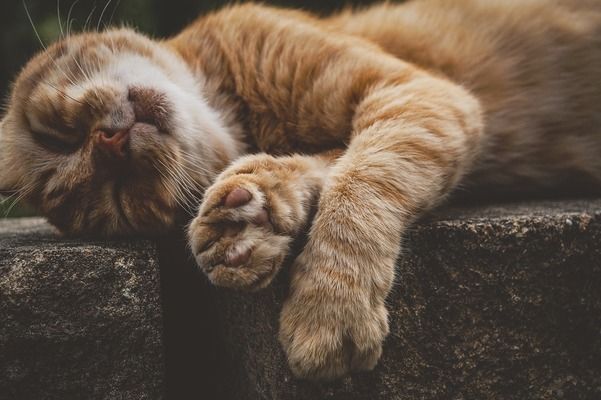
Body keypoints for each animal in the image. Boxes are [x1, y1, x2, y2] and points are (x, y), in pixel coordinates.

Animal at [1, 0, 600, 382]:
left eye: (56, 134)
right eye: (119, 198)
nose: (110, 145)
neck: (240, 110)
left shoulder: (418, 95)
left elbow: (360, 184)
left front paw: (329, 311)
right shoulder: (406, 109)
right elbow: (325, 169)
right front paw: (245, 218)